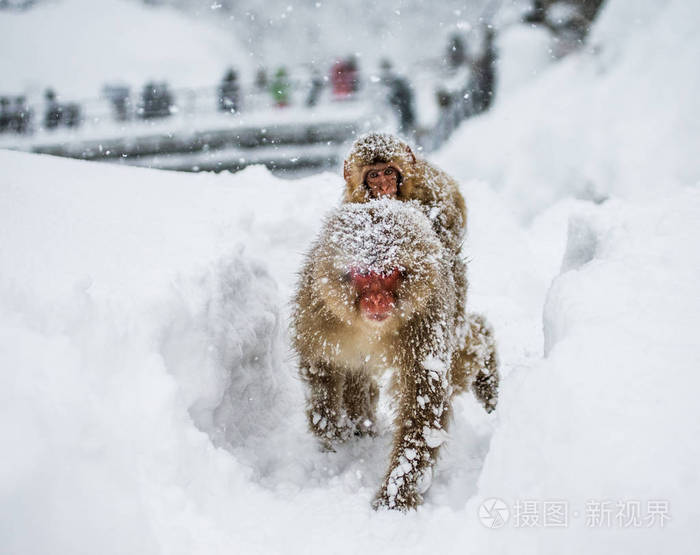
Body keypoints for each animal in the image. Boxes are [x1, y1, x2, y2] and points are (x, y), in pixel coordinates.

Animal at [292, 201, 500, 512]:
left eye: (389, 274)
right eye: (364, 275)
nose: (377, 300)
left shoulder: (428, 317)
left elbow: (423, 405)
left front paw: (395, 496)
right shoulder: (317, 308)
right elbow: (320, 368)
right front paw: (330, 429)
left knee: (463, 356)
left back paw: (487, 368)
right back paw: (359, 424)